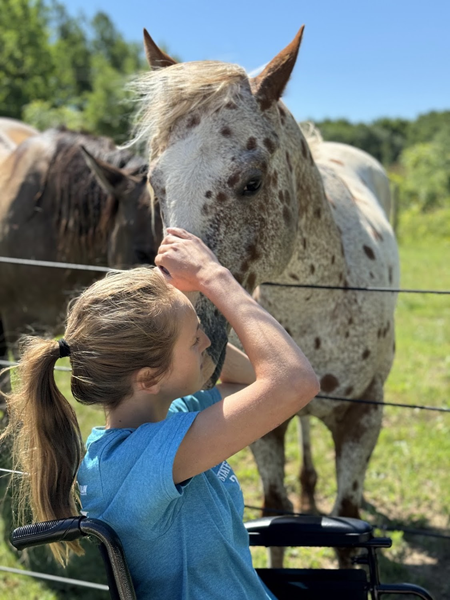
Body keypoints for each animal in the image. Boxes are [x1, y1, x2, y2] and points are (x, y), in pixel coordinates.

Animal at [133, 24, 398, 568]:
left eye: (252, 182)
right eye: (156, 184)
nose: (193, 335)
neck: (316, 305)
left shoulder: (363, 420)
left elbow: (346, 523)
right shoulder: (263, 423)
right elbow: (276, 516)